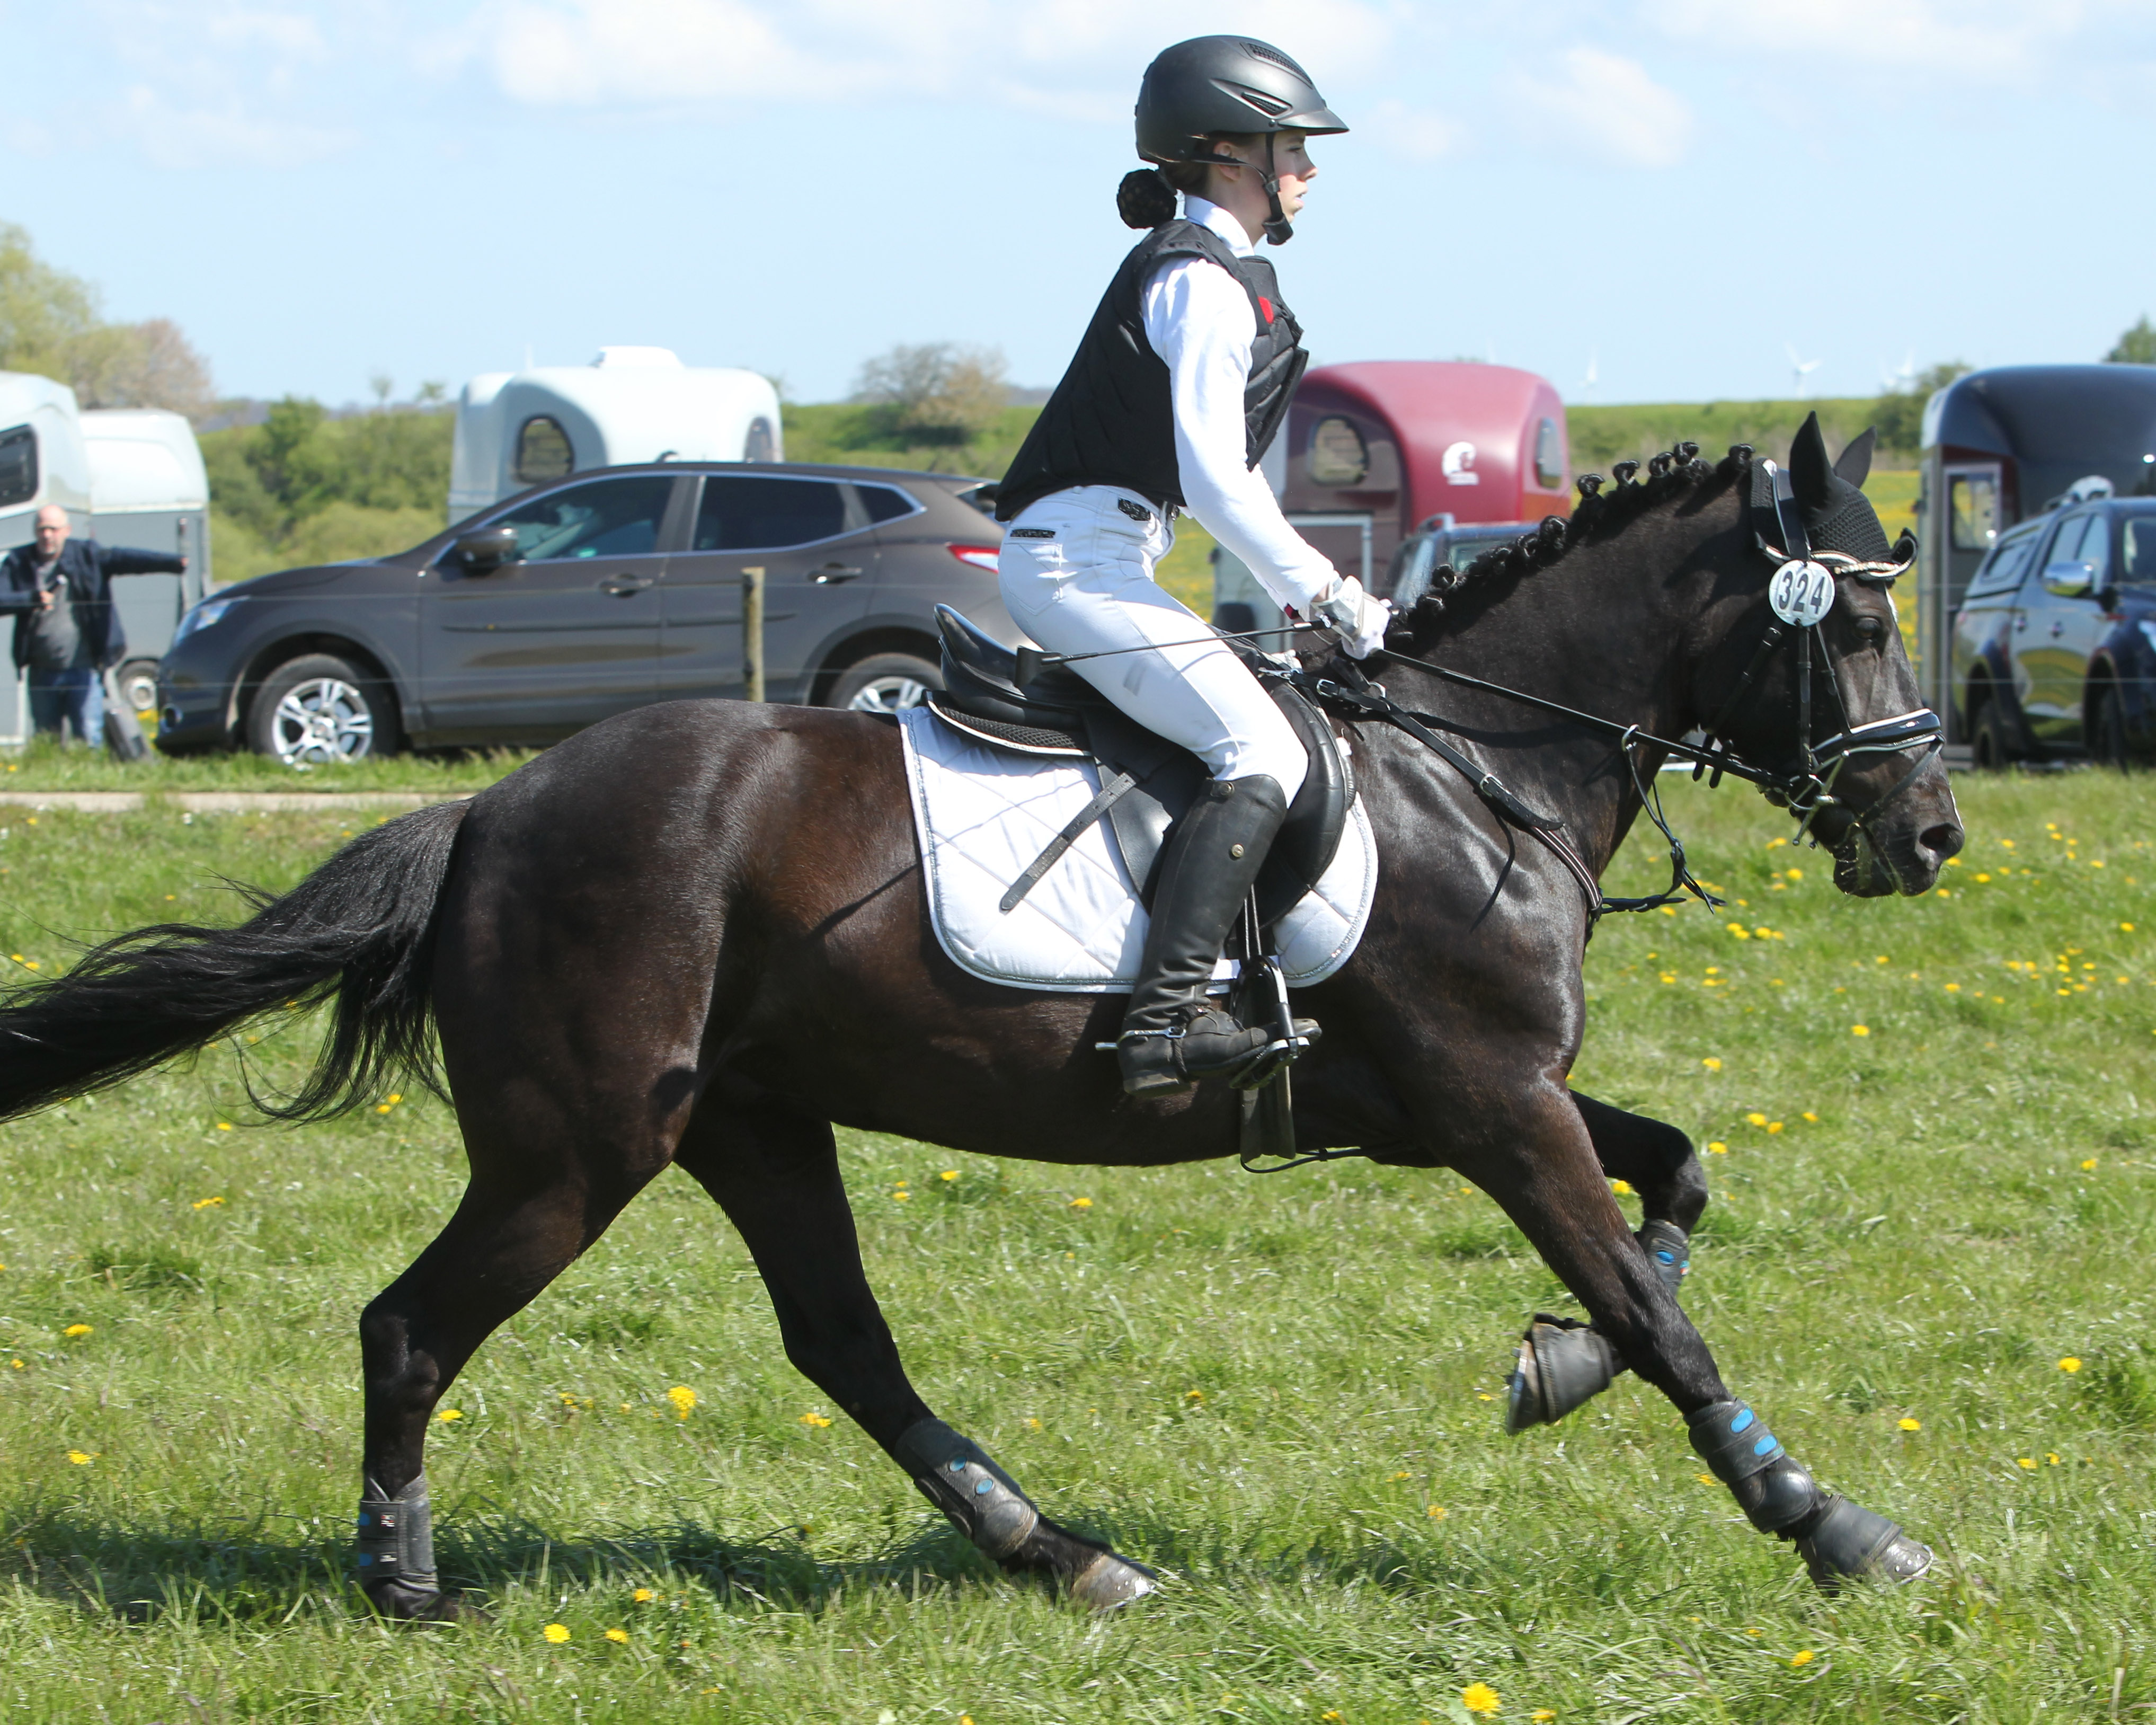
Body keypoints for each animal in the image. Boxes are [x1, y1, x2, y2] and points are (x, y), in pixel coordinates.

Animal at [0, 418, 1966, 1621]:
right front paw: (1833, 1526)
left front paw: (1549, 1368)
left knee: (843, 1346)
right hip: (581, 1146)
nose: (1929, 833)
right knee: (410, 1324)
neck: (1475, 767)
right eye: (1851, 623)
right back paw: (402, 1576)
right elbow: (1657, 1310)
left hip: (751, 1121)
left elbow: (1678, 1186)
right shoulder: (1490, 1102)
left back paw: (1066, 1554)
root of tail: (488, 809)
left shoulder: (1468, 1100)